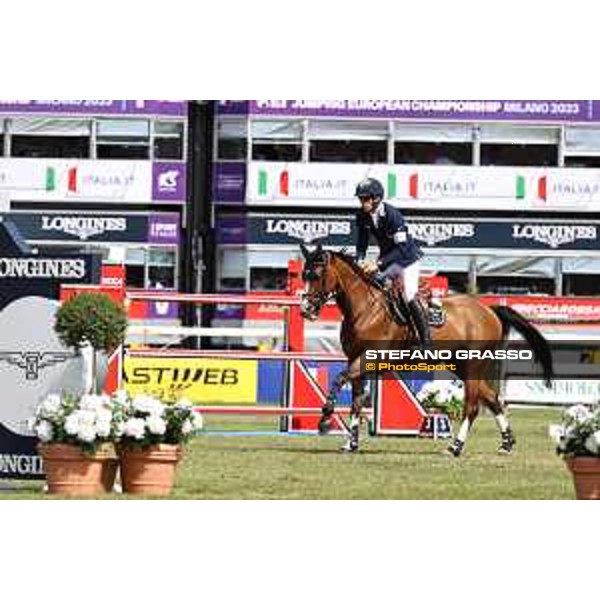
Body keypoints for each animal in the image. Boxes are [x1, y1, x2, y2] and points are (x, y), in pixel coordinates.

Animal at [298, 244, 552, 454]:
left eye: (317, 275)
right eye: (303, 275)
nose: (305, 309)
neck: (365, 309)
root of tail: (489, 310)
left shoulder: (368, 358)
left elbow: (340, 378)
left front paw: (325, 417)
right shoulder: (356, 360)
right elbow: (356, 403)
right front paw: (350, 443)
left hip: (473, 364)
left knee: (472, 406)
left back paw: (456, 446)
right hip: (460, 364)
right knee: (491, 398)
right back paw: (507, 443)